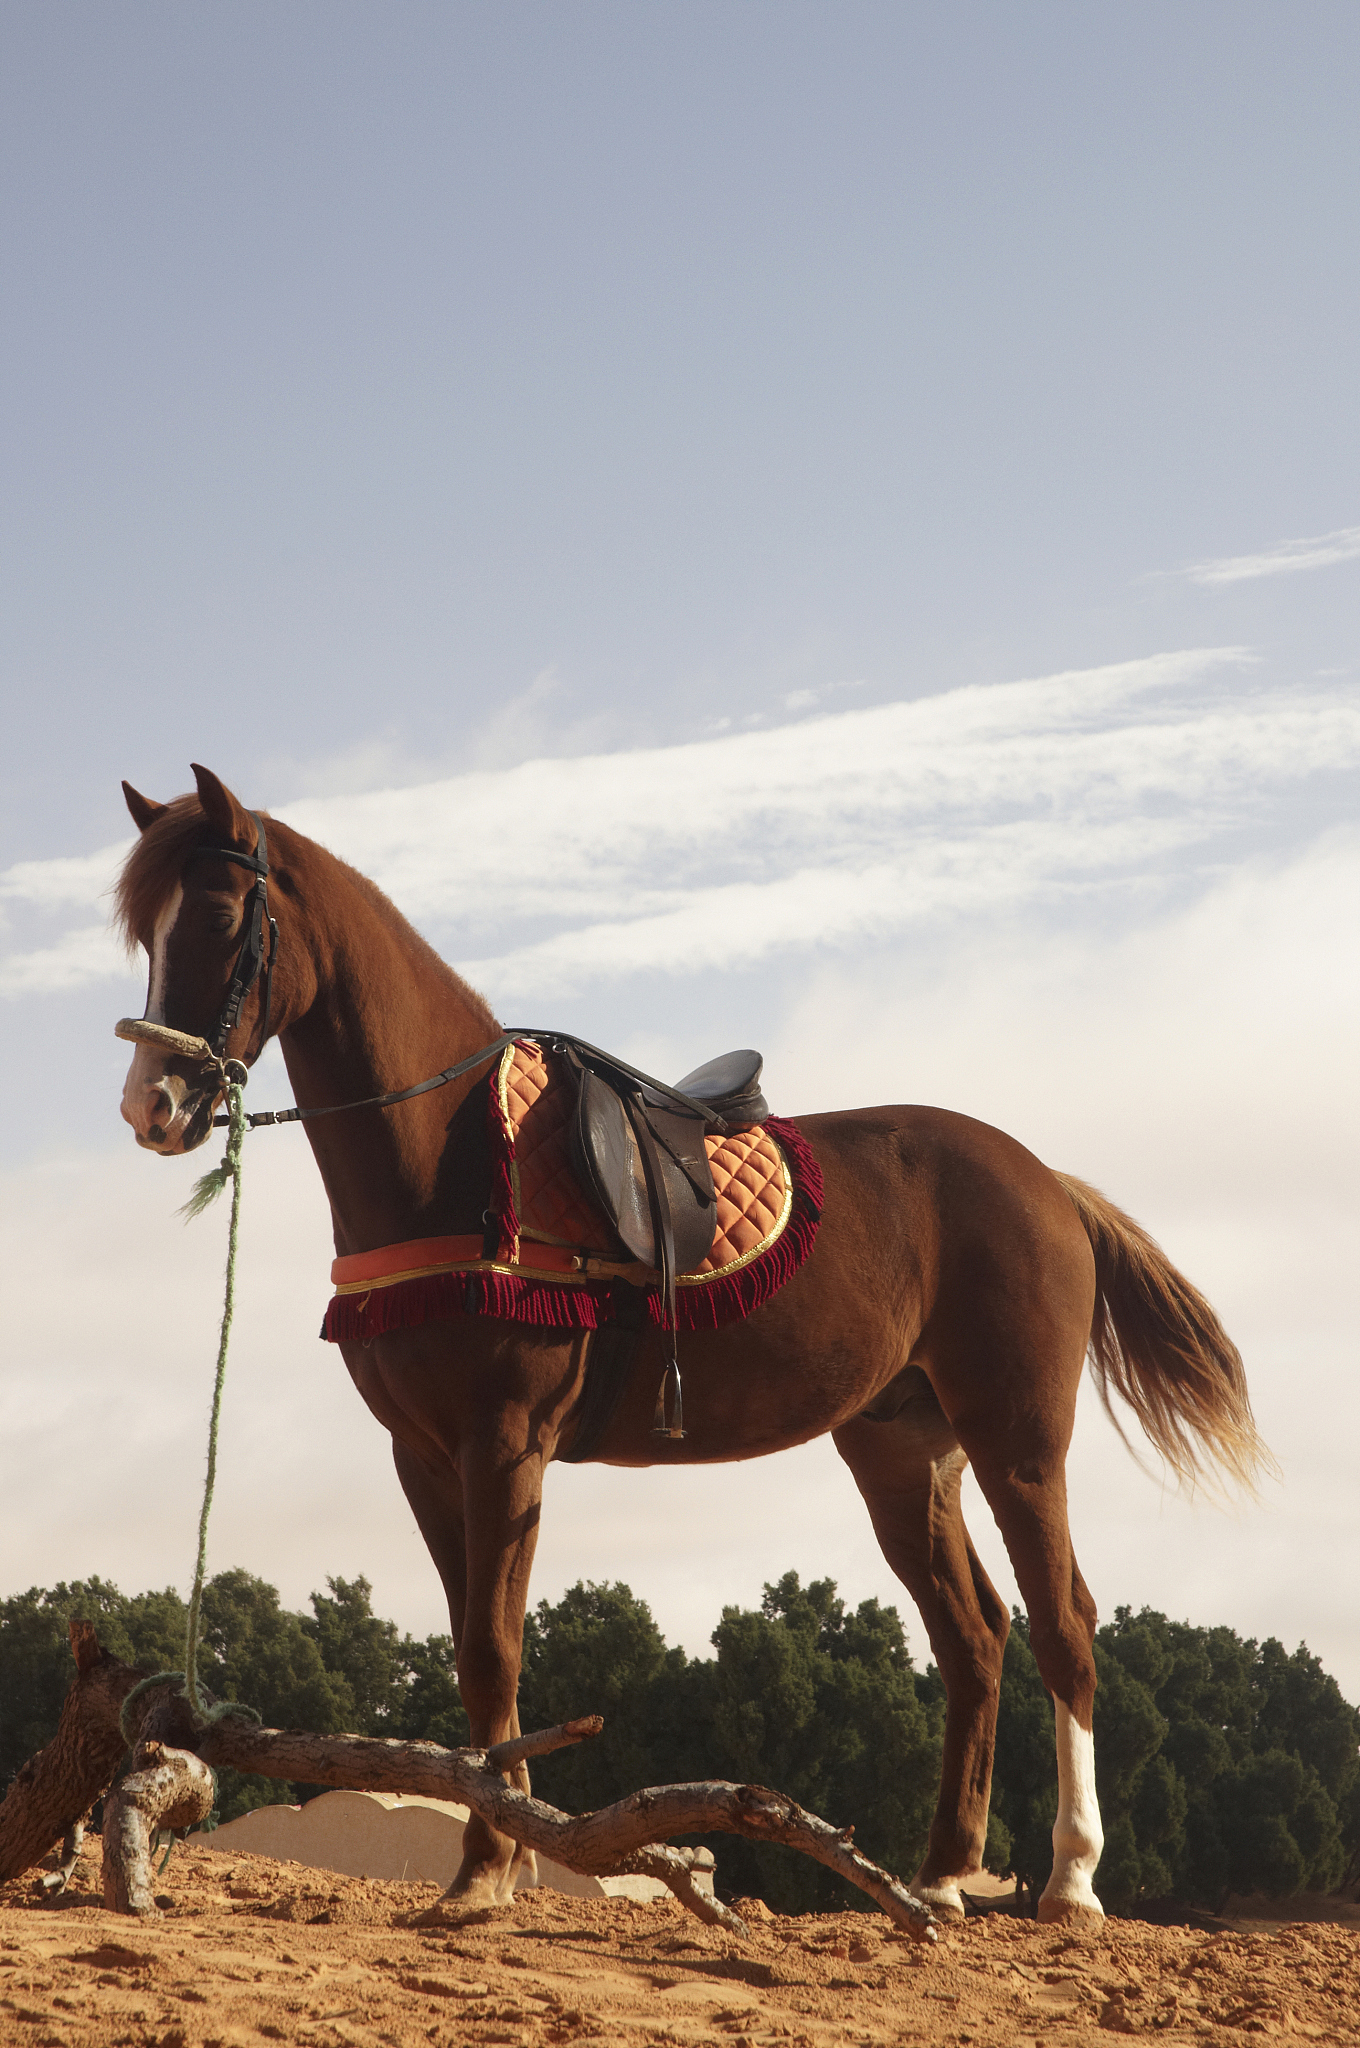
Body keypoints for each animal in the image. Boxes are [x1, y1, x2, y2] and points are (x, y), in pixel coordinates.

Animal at [114, 764, 1266, 1926]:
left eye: (218, 916)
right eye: (143, 931)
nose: (149, 1107)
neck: (458, 1153)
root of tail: (1048, 1183)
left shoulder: (505, 1445)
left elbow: (491, 1650)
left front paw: (485, 1870)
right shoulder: (424, 1456)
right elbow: (477, 1651)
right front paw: (501, 1859)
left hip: (1017, 1438)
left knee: (1064, 1622)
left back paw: (1071, 1878)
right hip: (903, 1449)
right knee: (973, 1637)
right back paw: (941, 1876)